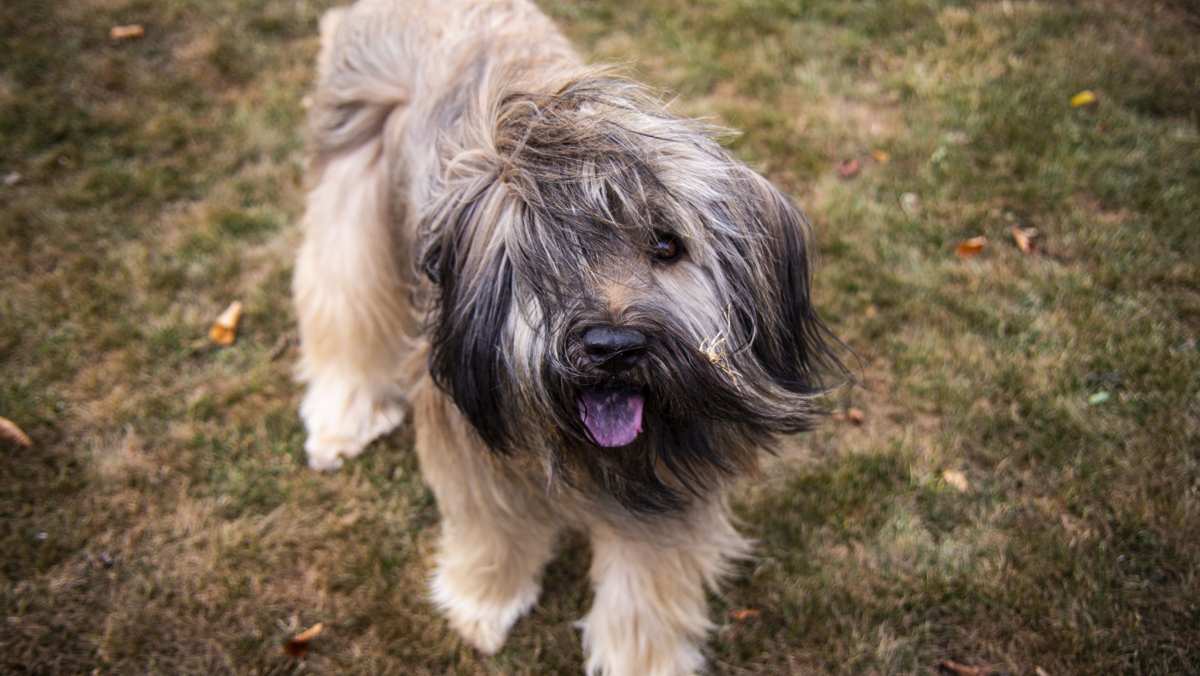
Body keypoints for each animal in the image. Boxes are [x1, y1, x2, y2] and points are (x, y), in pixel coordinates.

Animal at [294, 2, 840, 672]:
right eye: (550, 254)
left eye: (667, 245)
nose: (612, 349)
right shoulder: (469, 426)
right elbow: (490, 525)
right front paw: (484, 602)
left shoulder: (669, 470)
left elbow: (646, 578)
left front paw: (642, 657)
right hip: (353, 166)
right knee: (341, 296)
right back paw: (342, 413)